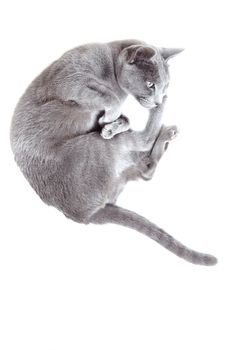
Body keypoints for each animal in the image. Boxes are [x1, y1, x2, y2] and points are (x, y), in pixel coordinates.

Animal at [9, 39, 217, 266]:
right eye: (150, 84)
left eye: (165, 85)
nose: (158, 98)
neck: (110, 69)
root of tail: (86, 216)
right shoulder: (72, 82)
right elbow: (111, 97)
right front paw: (110, 119)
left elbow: (123, 117)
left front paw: (112, 125)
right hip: (97, 145)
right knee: (144, 142)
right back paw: (163, 120)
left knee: (146, 170)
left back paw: (164, 131)